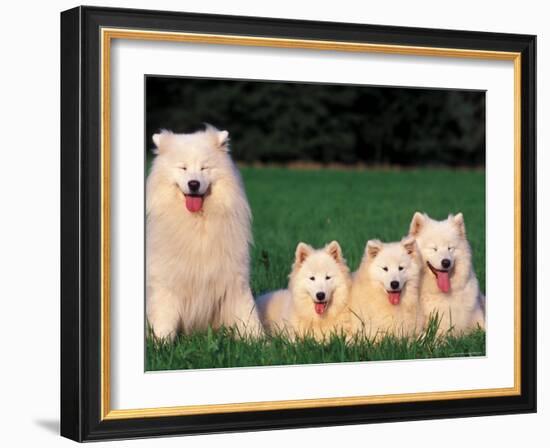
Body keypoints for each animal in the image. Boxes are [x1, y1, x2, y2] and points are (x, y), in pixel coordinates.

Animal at [147, 125, 264, 340]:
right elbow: (164, 319)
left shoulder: (234, 280)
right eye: (183, 168)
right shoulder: (167, 284)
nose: (193, 183)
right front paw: (161, 342)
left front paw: (259, 341)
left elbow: (247, 315)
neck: (198, 224)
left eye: (204, 168)